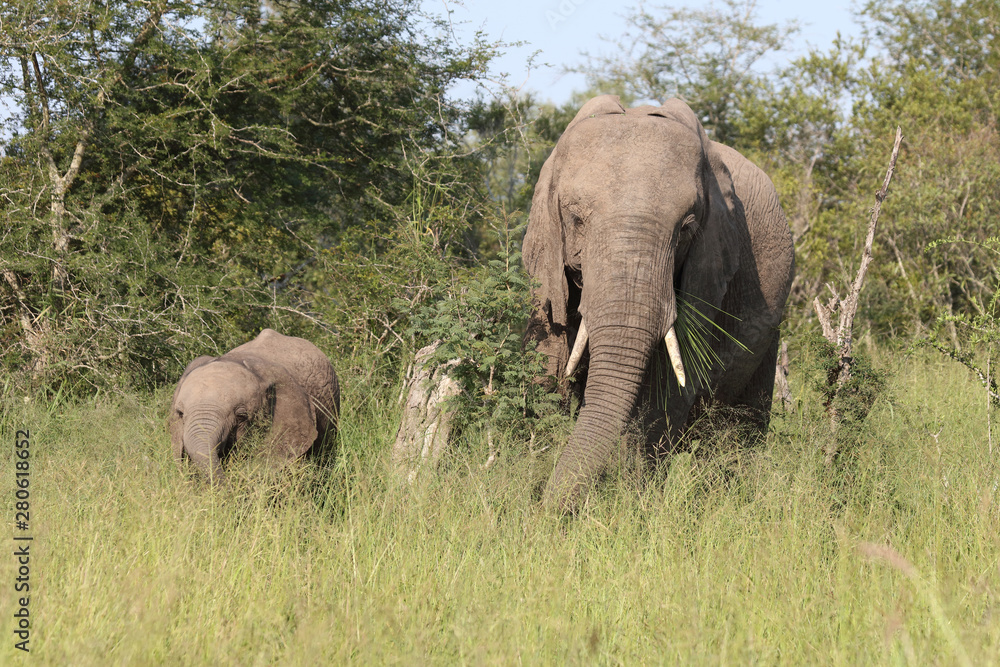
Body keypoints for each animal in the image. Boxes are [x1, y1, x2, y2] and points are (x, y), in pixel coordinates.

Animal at [523, 95, 795, 512]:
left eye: (686, 228)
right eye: (575, 219)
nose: (544, 512)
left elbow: (665, 392)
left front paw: (631, 507)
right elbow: (549, 368)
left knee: (735, 429)